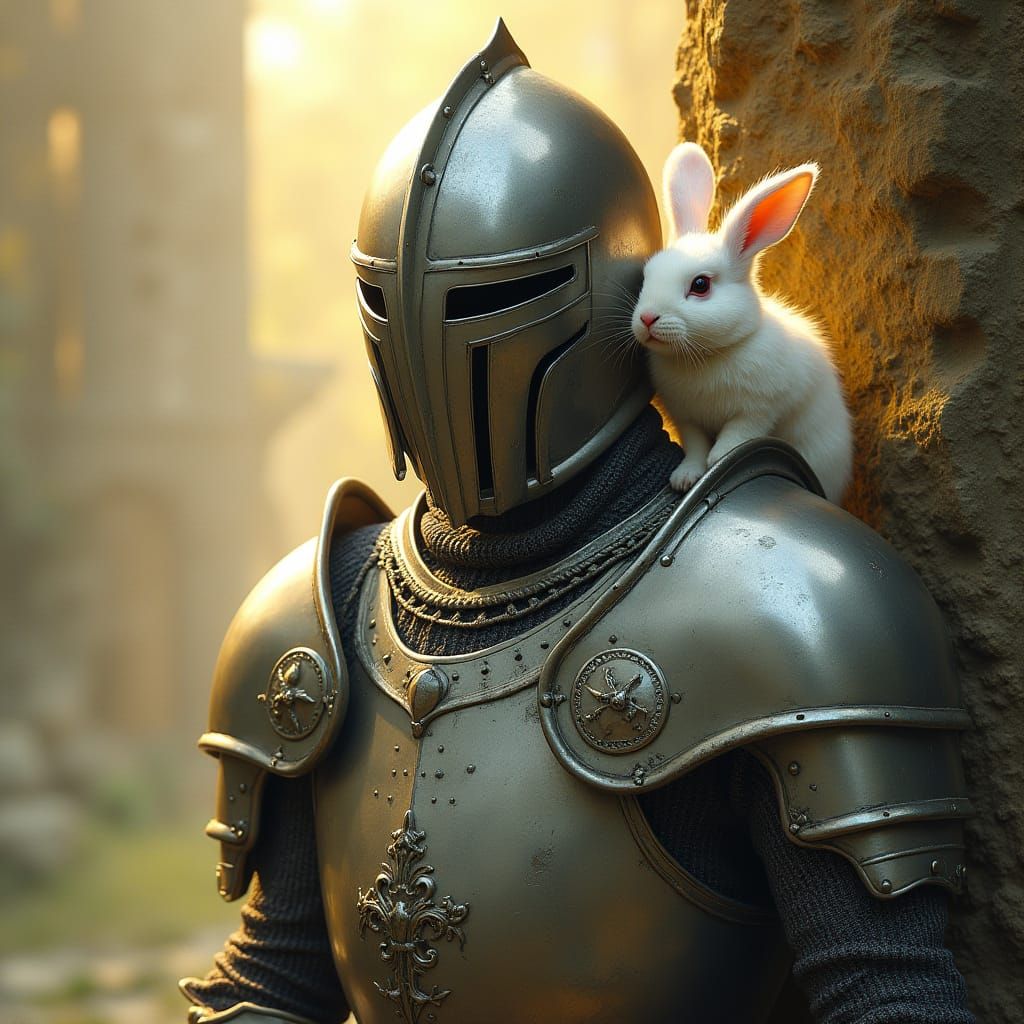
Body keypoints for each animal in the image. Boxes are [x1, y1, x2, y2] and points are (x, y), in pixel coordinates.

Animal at [631, 142, 852, 503]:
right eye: (647, 275)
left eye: (700, 285)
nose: (647, 318)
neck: (706, 357)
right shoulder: (686, 417)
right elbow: (694, 446)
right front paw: (684, 478)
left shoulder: (760, 408)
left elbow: (735, 438)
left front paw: (717, 462)